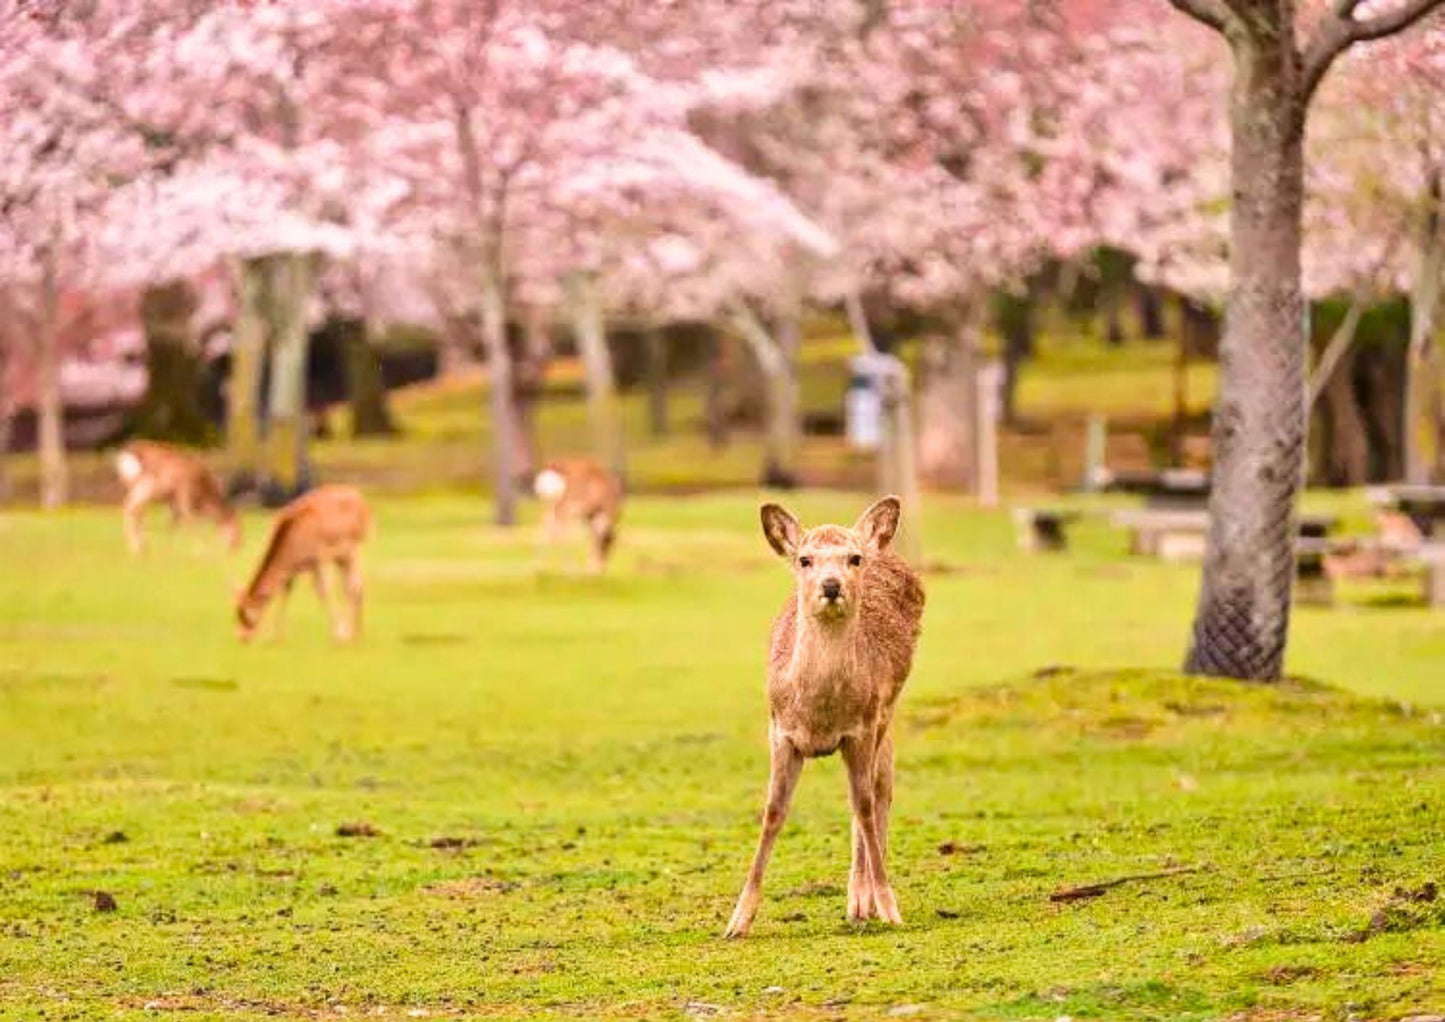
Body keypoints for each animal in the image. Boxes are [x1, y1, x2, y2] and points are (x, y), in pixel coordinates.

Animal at [236, 482, 372, 644]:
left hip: (354, 547)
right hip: (341, 557)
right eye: (236, 614)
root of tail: (362, 501)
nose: (242, 637)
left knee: (354, 585)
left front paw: (338, 634)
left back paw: (349, 632)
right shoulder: (300, 566)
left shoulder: (321, 555)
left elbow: (325, 589)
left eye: (245, 616)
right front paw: (277, 635)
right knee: (354, 584)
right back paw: (358, 632)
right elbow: (287, 590)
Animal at [722, 494, 924, 936]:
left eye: (853, 558)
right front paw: (737, 920)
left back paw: (862, 902)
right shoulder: (779, 731)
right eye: (805, 559)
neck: (819, 714)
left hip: (887, 714)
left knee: (879, 791)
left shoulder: (862, 728)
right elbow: (773, 812)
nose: (831, 586)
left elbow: (863, 806)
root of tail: (887, 551)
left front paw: (888, 907)